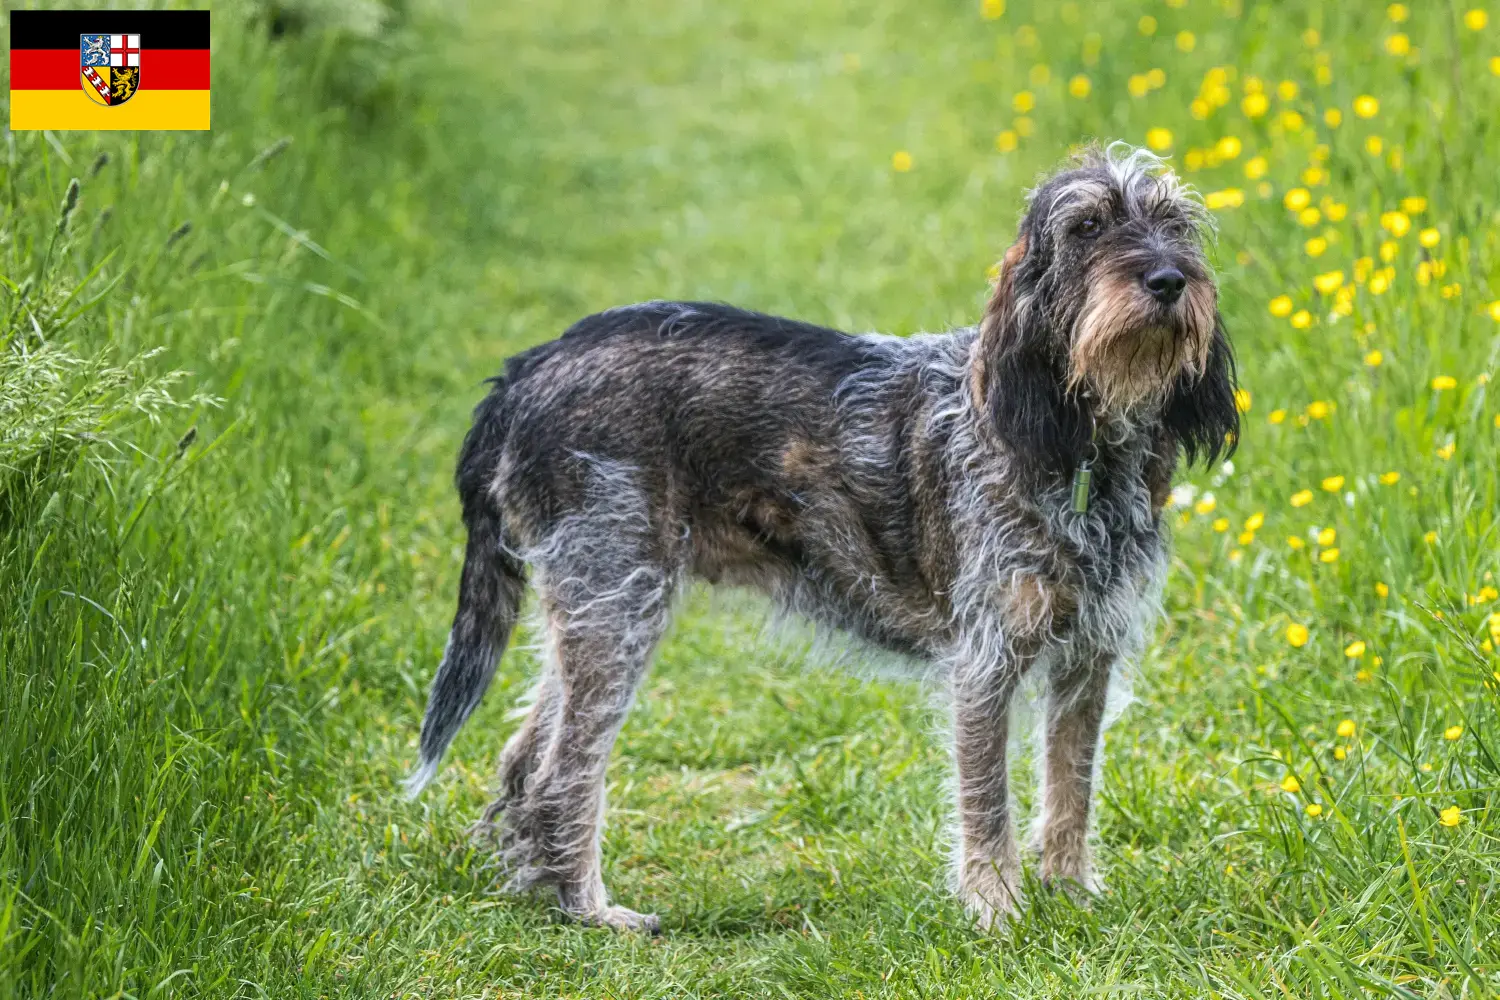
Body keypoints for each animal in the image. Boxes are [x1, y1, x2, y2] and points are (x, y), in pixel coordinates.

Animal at [405, 144, 1236, 935]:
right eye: (1087, 226)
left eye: (1174, 223)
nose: (1168, 279)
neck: (1081, 447)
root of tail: (525, 370)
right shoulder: (985, 664)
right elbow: (988, 801)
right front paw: (996, 911)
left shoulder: (1088, 658)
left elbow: (1070, 790)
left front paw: (1071, 896)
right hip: (617, 607)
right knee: (562, 774)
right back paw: (588, 910)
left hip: (590, 608)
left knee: (523, 759)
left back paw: (540, 892)